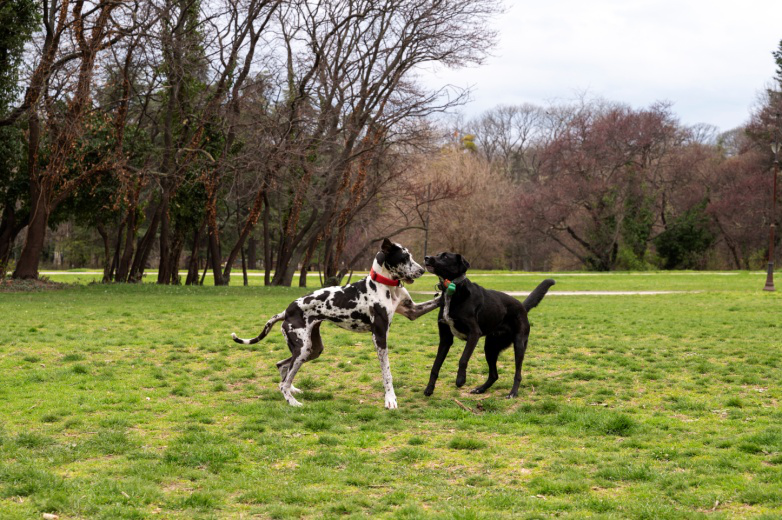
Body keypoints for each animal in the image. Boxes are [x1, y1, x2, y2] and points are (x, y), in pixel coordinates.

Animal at [233, 241, 440, 410]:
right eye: (404, 258)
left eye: (410, 256)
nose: (422, 270)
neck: (385, 284)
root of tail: (287, 310)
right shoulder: (380, 337)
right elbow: (387, 374)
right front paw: (390, 399)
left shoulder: (413, 311)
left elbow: (436, 301)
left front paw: (446, 291)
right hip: (303, 349)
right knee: (283, 381)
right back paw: (293, 402)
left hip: (311, 350)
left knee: (282, 367)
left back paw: (292, 390)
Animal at [422, 252, 556, 398]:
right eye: (437, 254)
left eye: (445, 257)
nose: (426, 257)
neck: (453, 289)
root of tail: (522, 307)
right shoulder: (445, 339)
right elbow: (435, 366)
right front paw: (429, 388)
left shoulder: (474, 333)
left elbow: (463, 359)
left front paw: (460, 380)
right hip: (490, 347)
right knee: (494, 375)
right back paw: (480, 389)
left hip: (519, 345)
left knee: (518, 374)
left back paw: (513, 393)